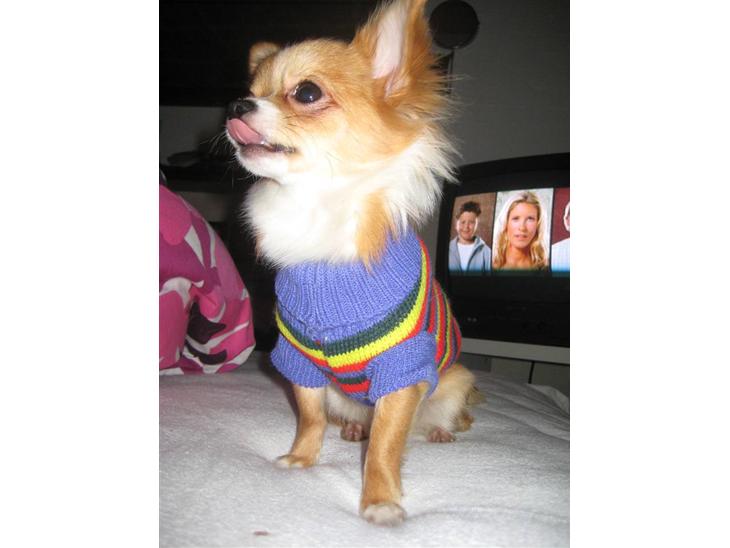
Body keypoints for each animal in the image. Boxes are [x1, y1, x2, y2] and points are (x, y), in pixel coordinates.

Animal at [225, 0, 480, 526]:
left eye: (306, 92)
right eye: (251, 93)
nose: (237, 106)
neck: (316, 209)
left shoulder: (403, 368)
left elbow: (387, 443)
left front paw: (380, 498)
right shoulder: (297, 357)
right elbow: (310, 416)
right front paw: (302, 457)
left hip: (454, 384)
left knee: (444, 418)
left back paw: (441, 431)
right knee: (348, 417)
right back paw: (352, 430)